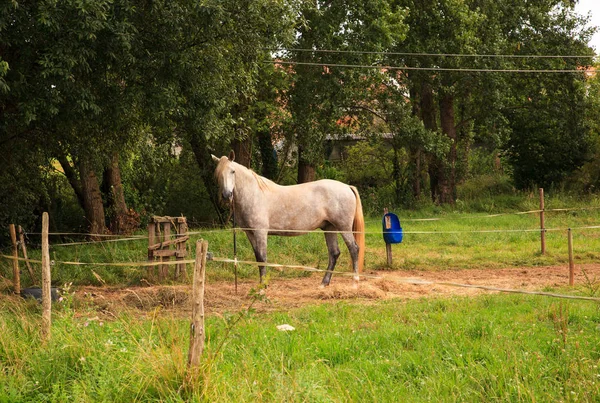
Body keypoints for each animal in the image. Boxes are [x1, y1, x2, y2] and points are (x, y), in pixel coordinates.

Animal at [211, 152, 366, 288]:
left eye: (232, 171)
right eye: (218, 174)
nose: (226, 195)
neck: (254, 194)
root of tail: (347, 187)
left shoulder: (261, 232)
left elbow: (262, 258)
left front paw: (263, 287)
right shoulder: (250, 233)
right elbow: (258, 259)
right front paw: (261, 286)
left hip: (343, 227)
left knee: (354, 249)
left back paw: (354, 283)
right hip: (329, 228)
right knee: (334, 253)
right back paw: (324, 283)